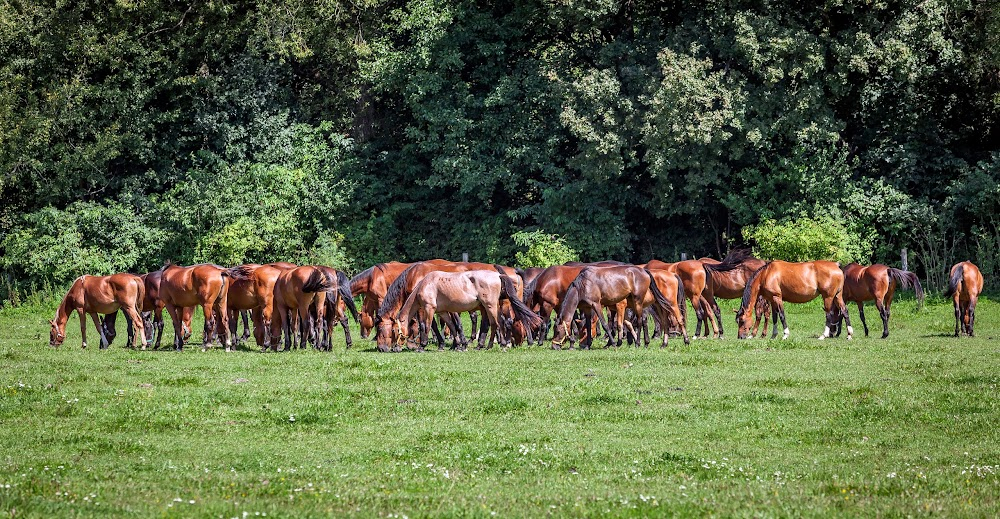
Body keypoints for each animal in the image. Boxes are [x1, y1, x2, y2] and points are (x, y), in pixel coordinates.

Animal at [396, 270, 544, 352]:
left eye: (396, 330)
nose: (394, 348)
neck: (426, 284)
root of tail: (498, 275)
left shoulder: (429, 309)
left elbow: (426, 326)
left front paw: (422, 346)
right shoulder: (442, 312)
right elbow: (452, 327)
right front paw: (459, 346)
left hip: (490, 306)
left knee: (497, 324)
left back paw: (499, 345)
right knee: (496, 324)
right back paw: (491, 345)